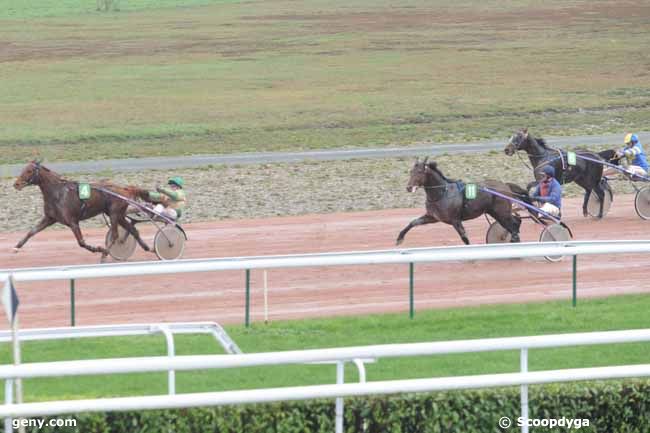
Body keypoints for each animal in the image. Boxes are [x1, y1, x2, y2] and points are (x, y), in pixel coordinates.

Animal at [13, 161, 150, 256]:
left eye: (29, 171)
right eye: (23, 169)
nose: (16, 184)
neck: (57, 193)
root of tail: (125, 188)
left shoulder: (72, 222)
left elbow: (81, 242)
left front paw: (97, 249)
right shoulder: (49, 218)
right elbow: (32, 231)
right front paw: (17, 246)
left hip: (114, 214)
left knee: (116, 234)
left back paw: (105, 251)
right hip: (119, 215)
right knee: (133, 229)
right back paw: (147, 247)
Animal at [392, 159, 524, 245]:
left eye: (420, 172)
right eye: (411, 172)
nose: (409, 188)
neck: (442, 193)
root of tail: (505, 185)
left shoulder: (455, 220)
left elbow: (464, 237)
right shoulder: (433, 217)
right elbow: (413, 222)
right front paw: (399, 238)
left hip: (501, 212)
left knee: (514, 223)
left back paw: (514, 239)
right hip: (496, 212)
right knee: (515, 222)